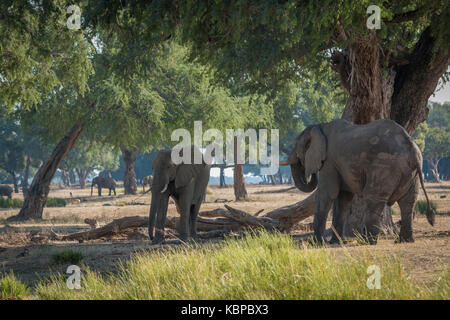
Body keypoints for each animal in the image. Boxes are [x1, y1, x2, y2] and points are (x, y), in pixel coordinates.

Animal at [284, 119, 434, 244]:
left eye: (297, 148)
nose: (309, 173)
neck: (320, 126)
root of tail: (412, 149)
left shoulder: (329, 162)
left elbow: (327, 194)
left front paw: (318, 243)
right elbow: (343, 199)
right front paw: (337, 242)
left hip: (385, 166)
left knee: (374, 199)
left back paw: (368, 242)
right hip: (411, 173)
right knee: (408, 203)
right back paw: (404, 241)